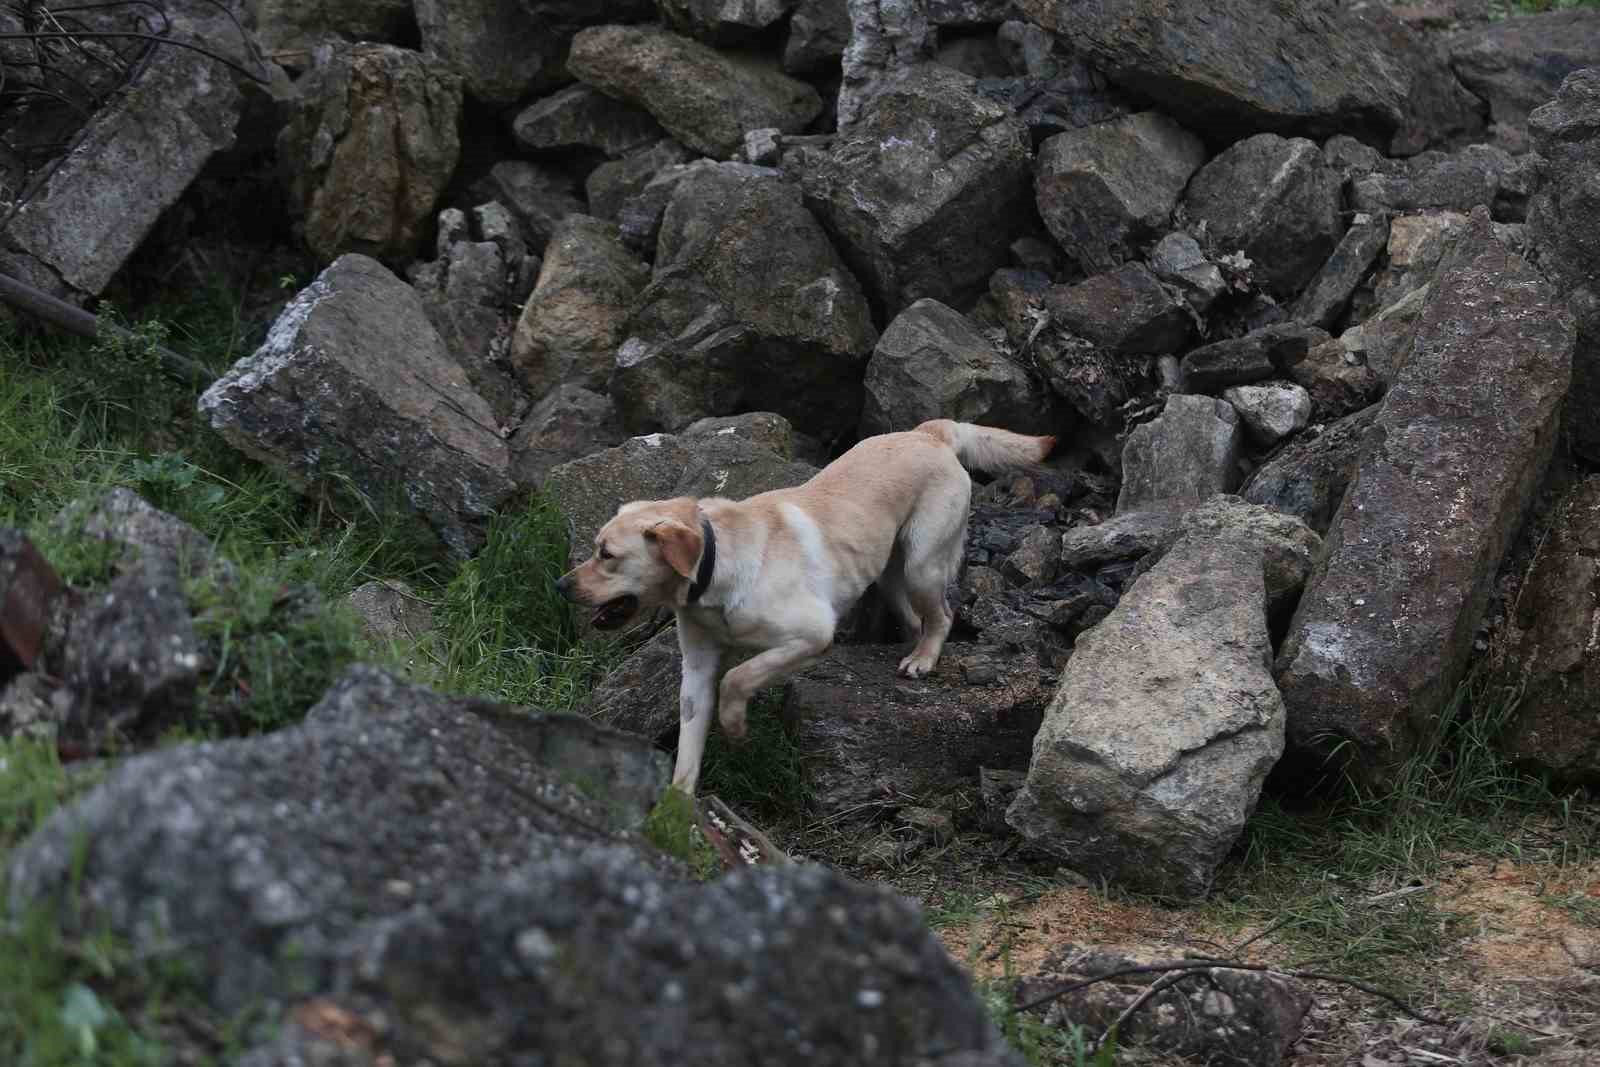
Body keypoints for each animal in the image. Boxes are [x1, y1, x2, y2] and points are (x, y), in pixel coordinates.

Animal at [556, 419, 1056, 793]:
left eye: (606, 554)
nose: (561, 585)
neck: (715, 568)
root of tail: (928, 431)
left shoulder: (811, 635)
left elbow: (739, 677)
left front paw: (735, 726)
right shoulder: (696, 670)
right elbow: (688, 746)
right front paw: (679, 807)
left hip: (923, 564)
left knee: (943, 616)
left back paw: (924, 659)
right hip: (890, 572)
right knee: (915, 616)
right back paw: (911, 649)